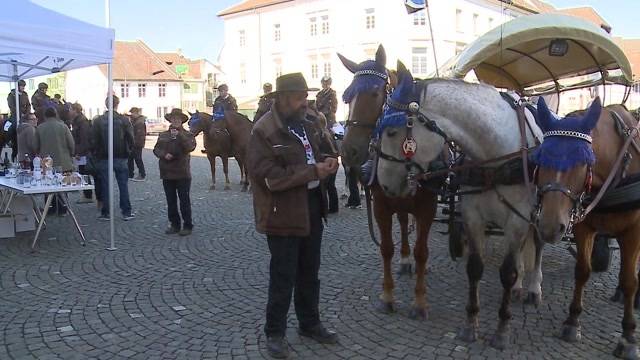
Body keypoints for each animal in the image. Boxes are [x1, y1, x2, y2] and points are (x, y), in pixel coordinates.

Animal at [340, 44, 440, 318]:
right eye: (346, 97)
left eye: (375, 93)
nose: (349, 151)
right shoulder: (382, 205)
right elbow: (386, 248)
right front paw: (387, 296)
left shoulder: (428, 205)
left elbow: (422, 251)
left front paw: (420, 301)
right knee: (404, 223)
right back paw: (405, 261)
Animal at [378, 66, 544, 350]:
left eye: (391, 132)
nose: (383, 184)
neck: (493, 157)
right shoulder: (473, 218)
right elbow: (475, 268)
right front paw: (470, 324)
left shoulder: (518, 220)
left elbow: (507, 272)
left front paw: (502, 330)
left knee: (538, 244)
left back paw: (533, 286)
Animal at [532, 97, 640, 358]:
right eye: (540, 159)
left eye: (583, 162)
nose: (549, 227)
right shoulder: (582, 225)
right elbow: (582, 271)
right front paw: (572, 321)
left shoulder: (633, 230)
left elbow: (630, 280)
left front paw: (629, 336)